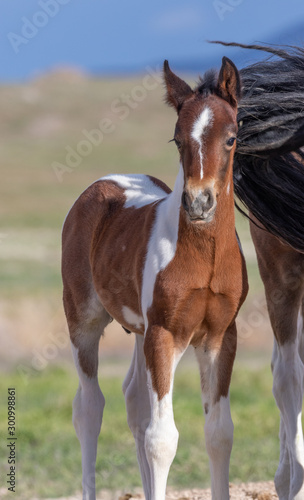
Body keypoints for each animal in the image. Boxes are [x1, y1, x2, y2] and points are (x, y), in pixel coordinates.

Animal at [61, 57, 247, 500]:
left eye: (231, 138)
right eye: (177, 140)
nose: (199, 203)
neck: (205, 257)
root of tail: (103, 183)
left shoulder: (220, 336)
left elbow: (219, 433)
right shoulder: (165, 333)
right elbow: (162, 439)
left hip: (140, 332)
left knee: (134, 404)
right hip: (84, 322)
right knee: (89, 408)